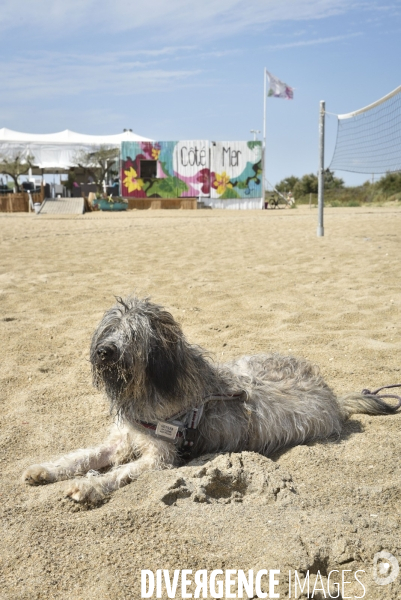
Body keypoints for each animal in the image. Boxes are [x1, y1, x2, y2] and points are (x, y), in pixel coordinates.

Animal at [22, 298, 400, 504]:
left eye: (133, 334)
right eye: (110, 329)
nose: (104, 352)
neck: (151, 387)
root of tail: (333, 398)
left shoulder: (161, 456)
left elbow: (121, 472)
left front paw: (89, 486)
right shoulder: (123, 439)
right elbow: (82, 456)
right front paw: (45, 470)